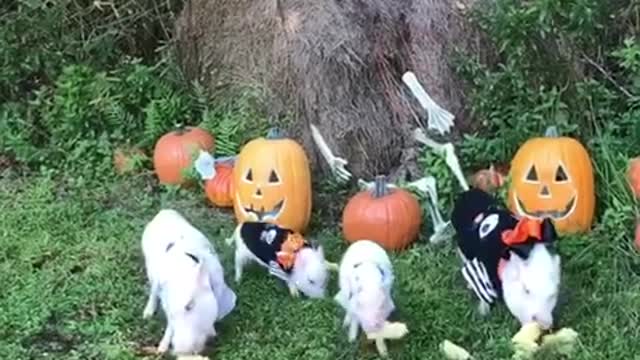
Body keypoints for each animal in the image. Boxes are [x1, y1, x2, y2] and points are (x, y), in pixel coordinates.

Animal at [142, 208, 238, 354]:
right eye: (169, 313)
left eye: (189, 306)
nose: (179, 350)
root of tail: (164, 211)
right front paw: (161, 348)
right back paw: (146, 315)